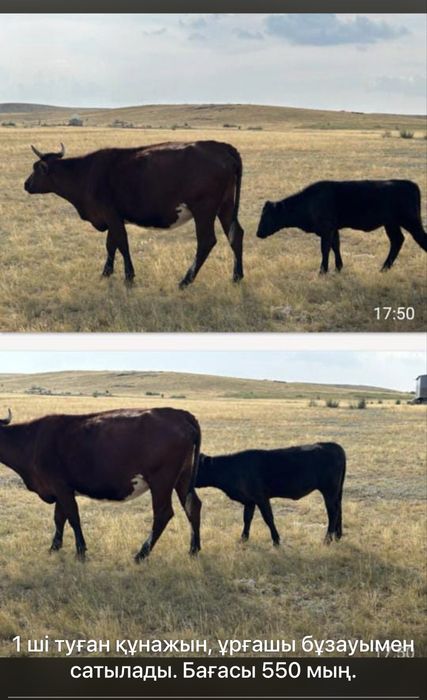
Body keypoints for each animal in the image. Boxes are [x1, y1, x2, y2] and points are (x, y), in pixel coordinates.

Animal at [0, 407, 202, 561]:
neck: (31, 441)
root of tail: (178, 413)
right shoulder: (61, 490)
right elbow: (59, 518)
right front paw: (54, 548)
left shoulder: (61, 487)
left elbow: (73, 517)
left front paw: (80, 551)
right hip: (183, 477)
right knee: (193, 506)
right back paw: (194, 549)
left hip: (161, 481)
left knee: (163, 513)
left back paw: (141, 554)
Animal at [24, 141, 244, 287]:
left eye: (35, 168)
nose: (26, 184)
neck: (85, 173)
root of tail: (220, 146)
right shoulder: (113, 218)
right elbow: (111, 244)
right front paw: (106, 272)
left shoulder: (111, 215)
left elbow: (121, 243)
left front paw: (129, 276)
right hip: (225, 206)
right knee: (236, 235)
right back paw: (237, 276)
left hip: (204, 210)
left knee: (206, 241)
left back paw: (185, 280)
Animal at [196, 443, 346, 546]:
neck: (231, 468)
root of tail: (332, 445)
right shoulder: (249, 500)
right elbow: (247, 518)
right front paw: (243, 538)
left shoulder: (261, 497)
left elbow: (268, 518)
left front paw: (276, 541)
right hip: (336, 492)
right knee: (339, 509)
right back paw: (338, 536)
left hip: (329, 490)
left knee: (333, 512)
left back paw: (327, 540)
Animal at [256, 180, 427, 274]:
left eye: (267, 216)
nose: (258, 233)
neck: (309, 201)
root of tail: (409, 184)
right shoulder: (334, 230)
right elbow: (335, 246)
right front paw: (338, 267)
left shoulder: (326, 230)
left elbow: (325, 249)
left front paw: (322, 270)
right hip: (391, 224)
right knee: (397, 241)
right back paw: (384, 268)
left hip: (411, 223)